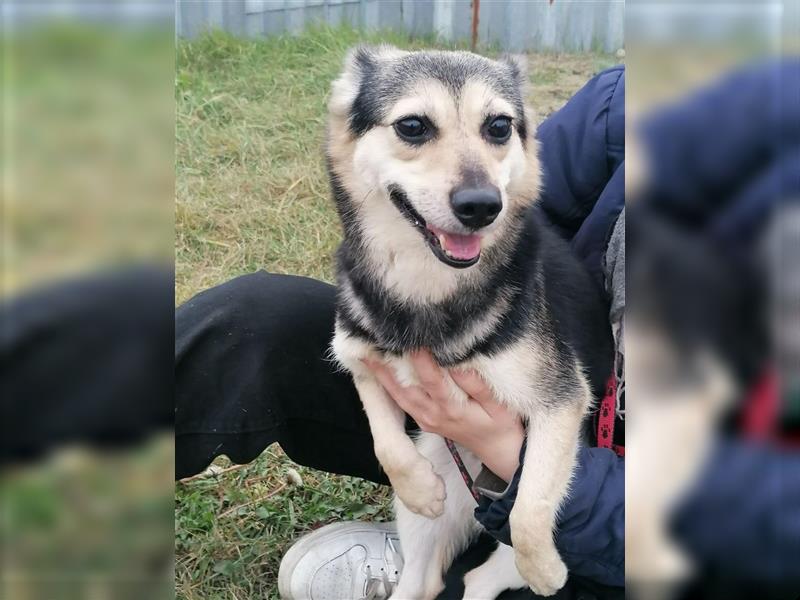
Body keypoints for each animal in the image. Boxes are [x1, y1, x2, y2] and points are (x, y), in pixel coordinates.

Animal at [324, 47, 612, 600]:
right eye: (412, 126)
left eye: (498, 127)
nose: (482, 206)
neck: (427, 285)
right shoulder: (361, 359)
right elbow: (385, 440)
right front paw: (417, 487)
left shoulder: (561, 402)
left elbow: (530, 506)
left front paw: (544, 567)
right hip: (435, 487)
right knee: (422, 577)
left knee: (480, 576)